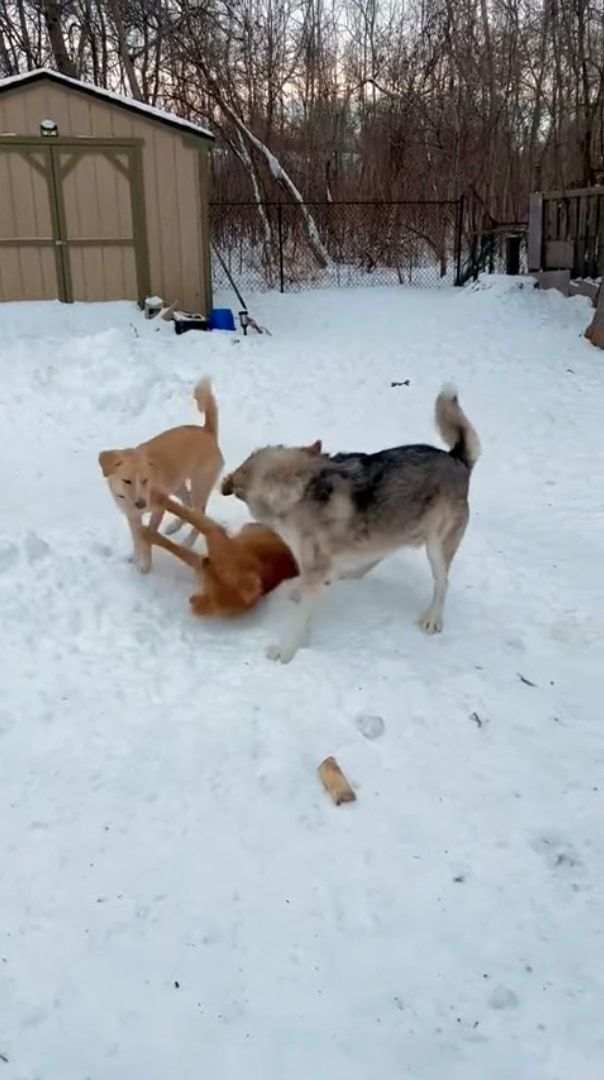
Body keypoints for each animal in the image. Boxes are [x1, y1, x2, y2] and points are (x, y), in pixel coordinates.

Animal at [99, 378, 224, 570]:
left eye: (145, 480)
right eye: (127, 481)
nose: (141, 504)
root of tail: (207, 431)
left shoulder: (158, 509)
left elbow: (149, 535)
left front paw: (146, 564)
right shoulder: (132, 516)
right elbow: (137, 539)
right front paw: (136, 558)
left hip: (199, 485)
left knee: (199, 514)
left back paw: (187, 542)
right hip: (178, 486)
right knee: (188, 506)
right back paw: (174, 526)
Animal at [219, 384, 479, 660]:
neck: (297, 489)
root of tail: (457, 458)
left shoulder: (314, 570)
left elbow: (299, 620)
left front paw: (285, 653)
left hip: (436, 547)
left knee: (442, 582)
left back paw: (432, 619)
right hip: (388, 529)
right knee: (378, 555)